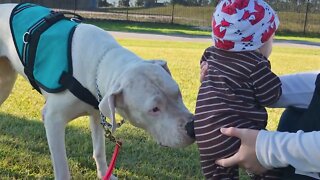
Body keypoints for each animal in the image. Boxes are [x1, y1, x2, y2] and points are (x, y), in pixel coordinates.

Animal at [0, 3, 195, 179]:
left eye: (178, 94)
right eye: (154, 109)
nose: (192, 128)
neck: (102, 60)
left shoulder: (97, 111)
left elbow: (99, 150)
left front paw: (104, 174)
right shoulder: (53, 119)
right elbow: (62, 167)